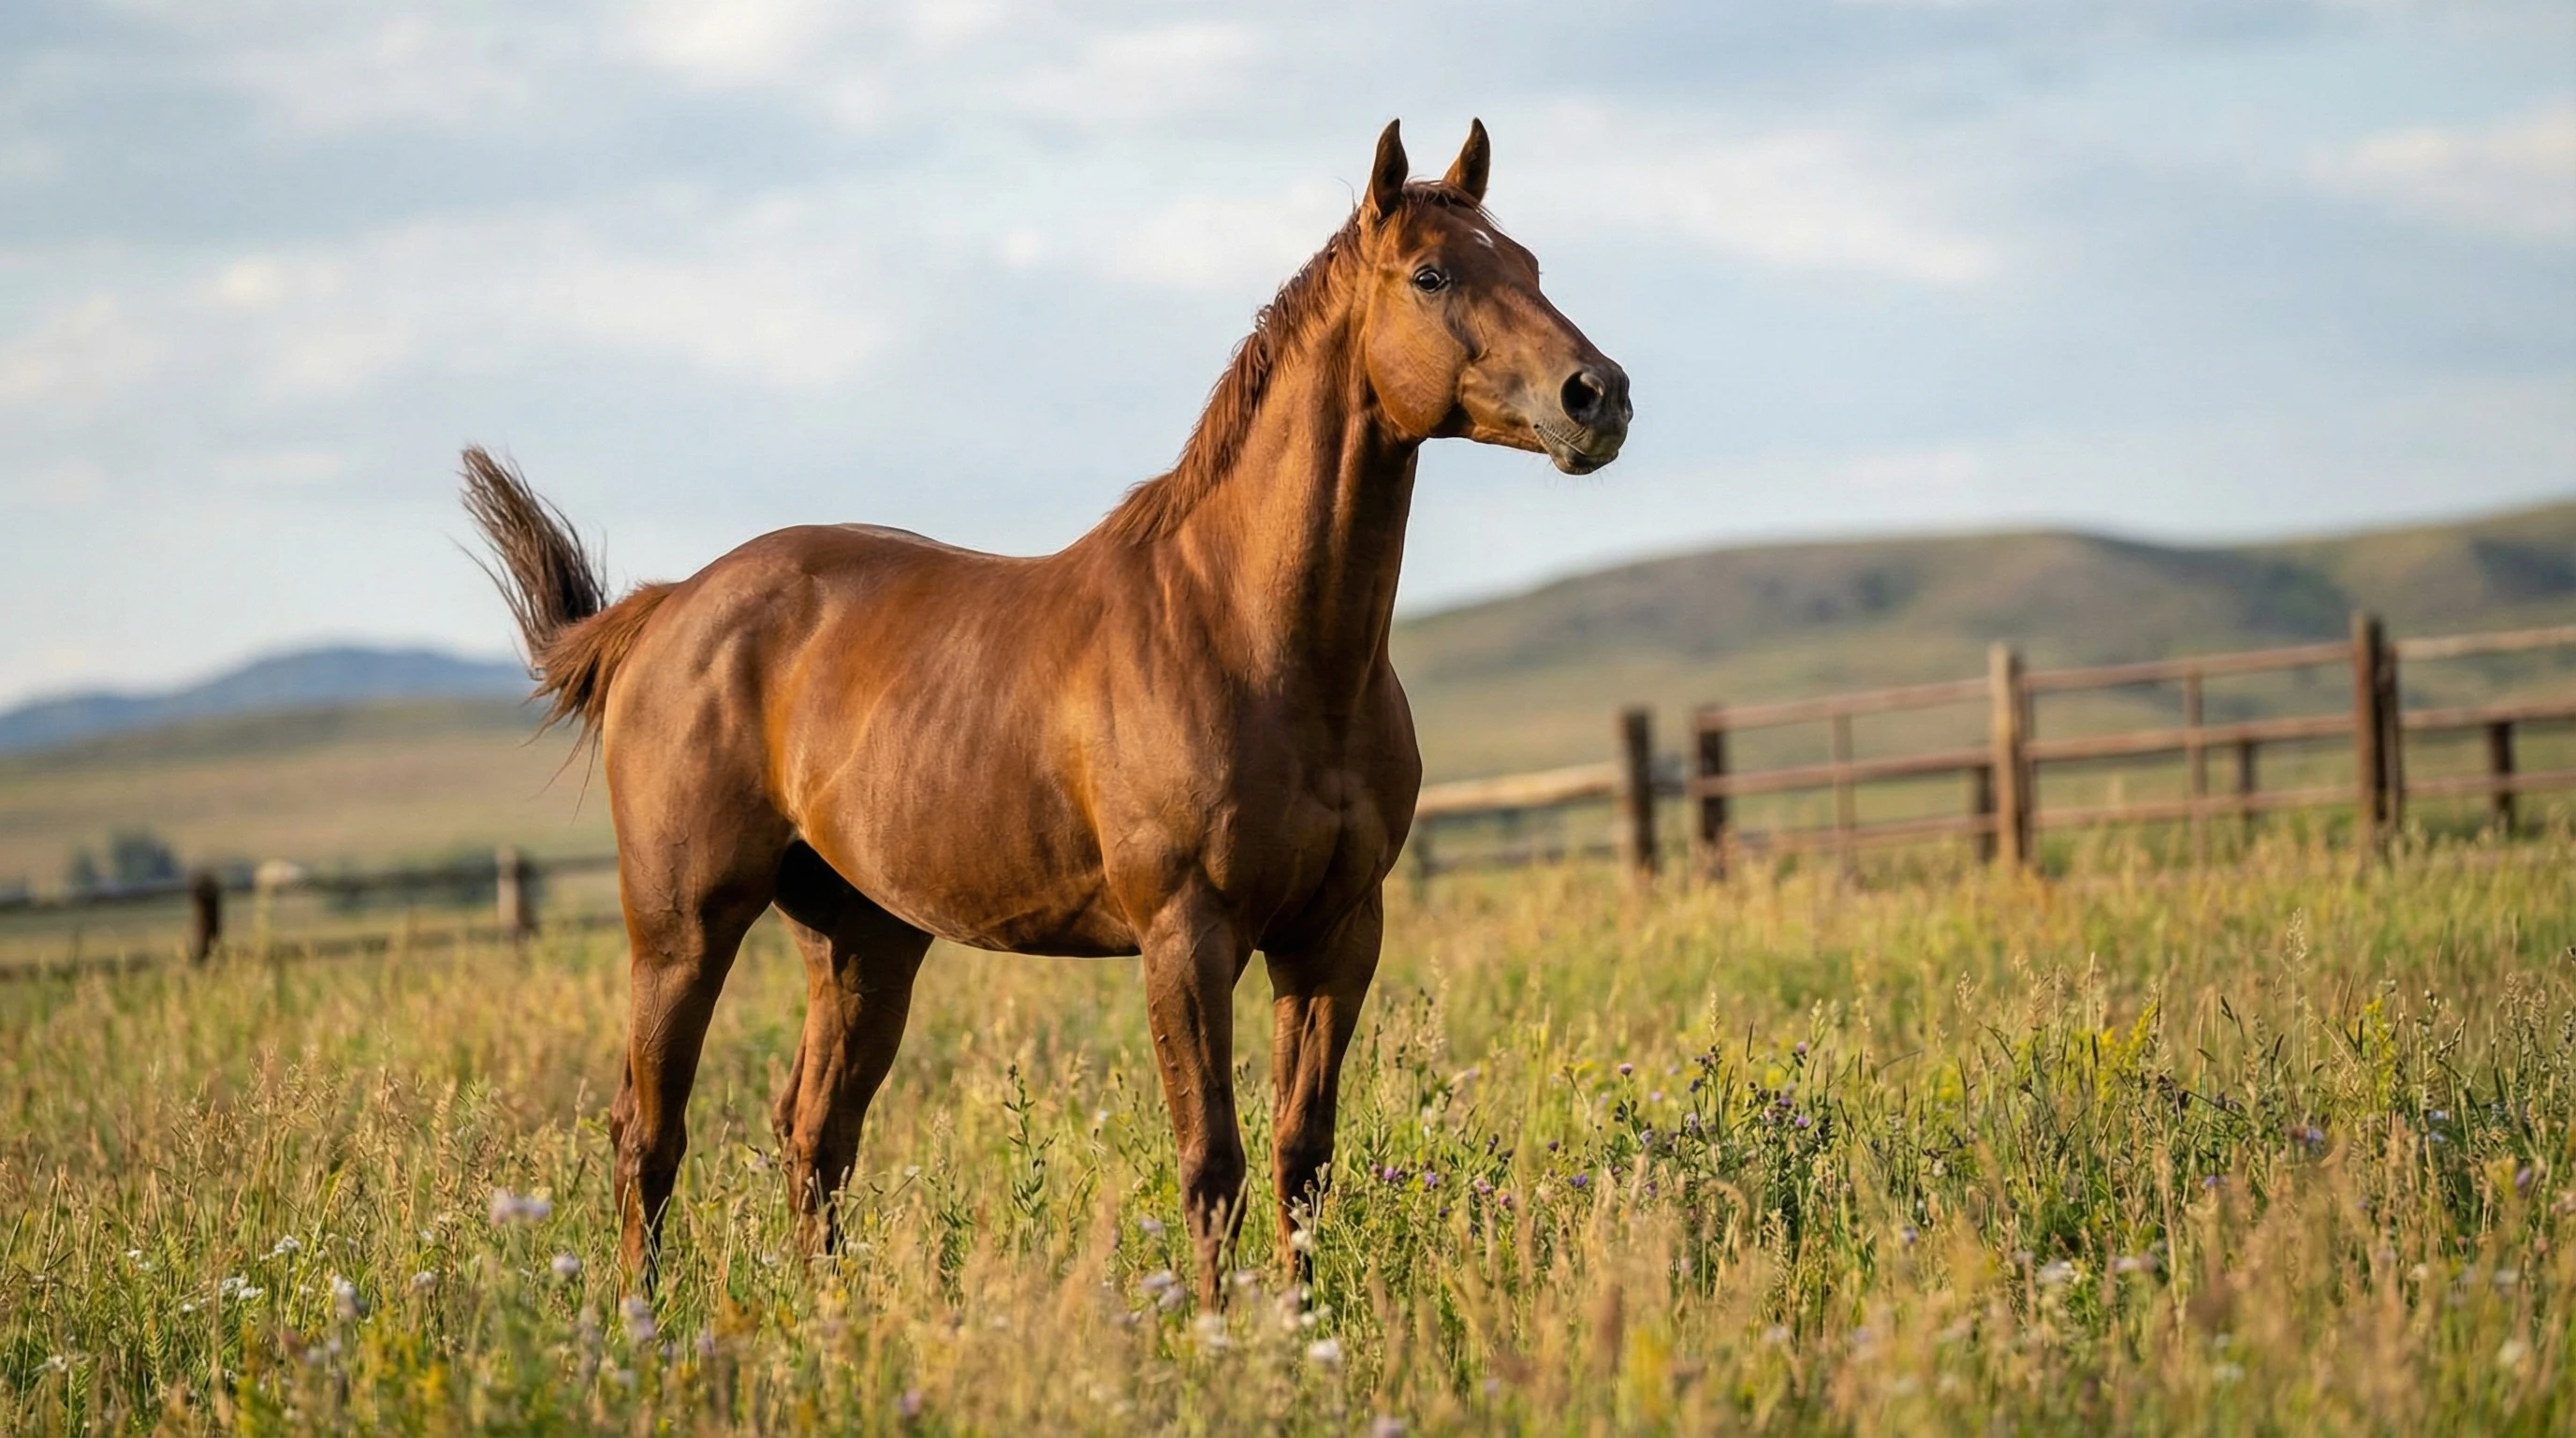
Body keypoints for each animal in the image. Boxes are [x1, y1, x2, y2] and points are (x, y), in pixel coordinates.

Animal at [462, 118, 1629, 1304]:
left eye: (1528, 263)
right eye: (1431, 275)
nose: (1599, 396)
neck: (1257, 638)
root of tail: (666, 609)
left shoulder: (1334, 937)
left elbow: (1302, 1158)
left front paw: (1303, 1329)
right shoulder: (1187, 938)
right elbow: (1212, 1160)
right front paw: (1217, 1332)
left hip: (860, 940)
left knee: (814, 1132)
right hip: (682, 930)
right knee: (648, 1132)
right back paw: (639, 1319)